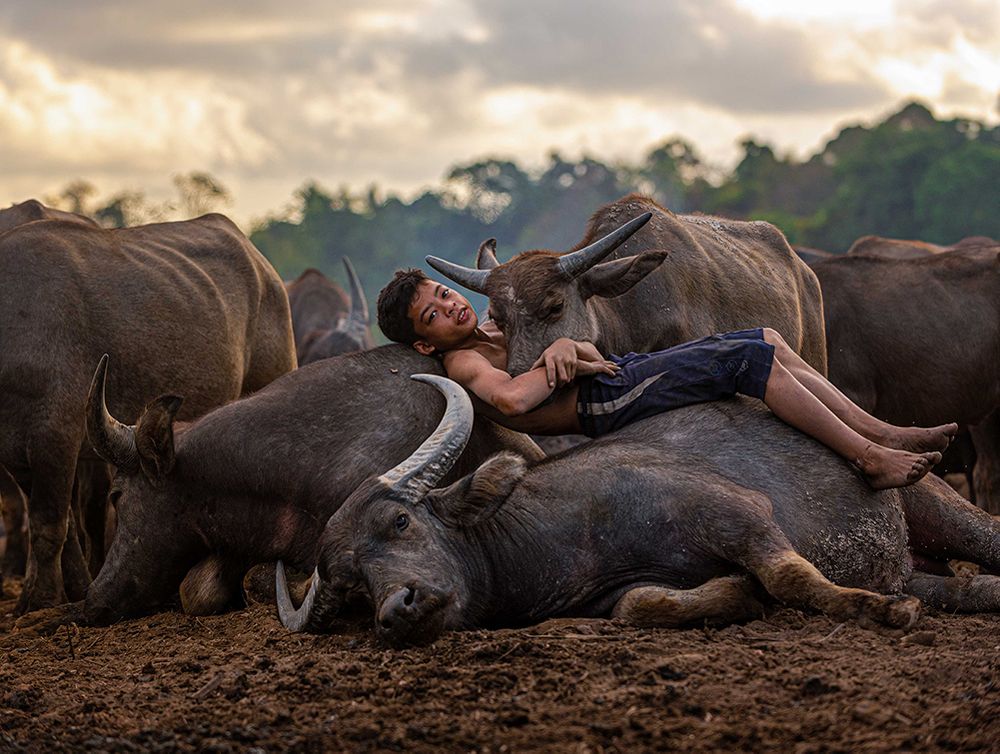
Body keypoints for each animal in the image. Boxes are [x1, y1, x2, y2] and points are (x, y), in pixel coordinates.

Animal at [0, 212, 296, 614]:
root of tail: (265, 271)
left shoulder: (55, 432)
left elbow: (50, 527)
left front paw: (39, 601)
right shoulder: (15, 451)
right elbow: (66, 529)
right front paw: (75, 590)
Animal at [279, 375, 1000, 646]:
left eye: (400, 521)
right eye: (348, 583)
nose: (397, 609)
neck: (561, 537)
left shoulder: (737, 512)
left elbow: (791, 575)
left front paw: (877, 612)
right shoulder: (611, 596)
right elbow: (641, 604)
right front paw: (734, 595)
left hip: (935, 503)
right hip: (919, 569)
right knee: (969, 589)